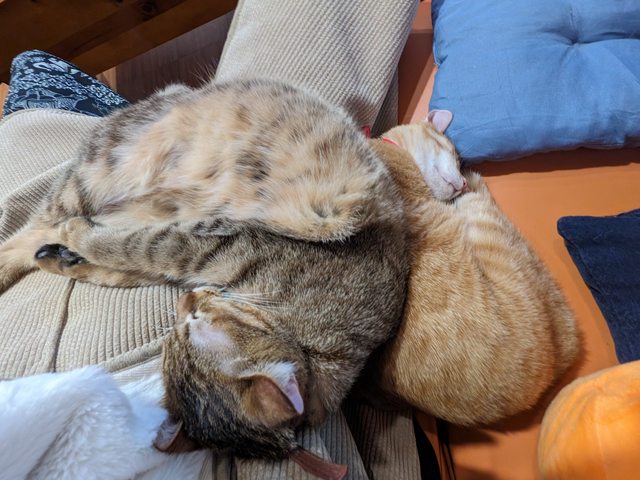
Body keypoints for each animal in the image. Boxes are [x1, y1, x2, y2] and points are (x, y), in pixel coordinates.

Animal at [0, 79, 409, 459]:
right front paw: (76, 237)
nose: (187, 299)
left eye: (187, 329)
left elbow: (122, 256)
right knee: (30, 230)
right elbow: (129, 245)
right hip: (93, 177)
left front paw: (70, 253)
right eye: (196, 323)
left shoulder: (179, 255)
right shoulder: (214, 239)